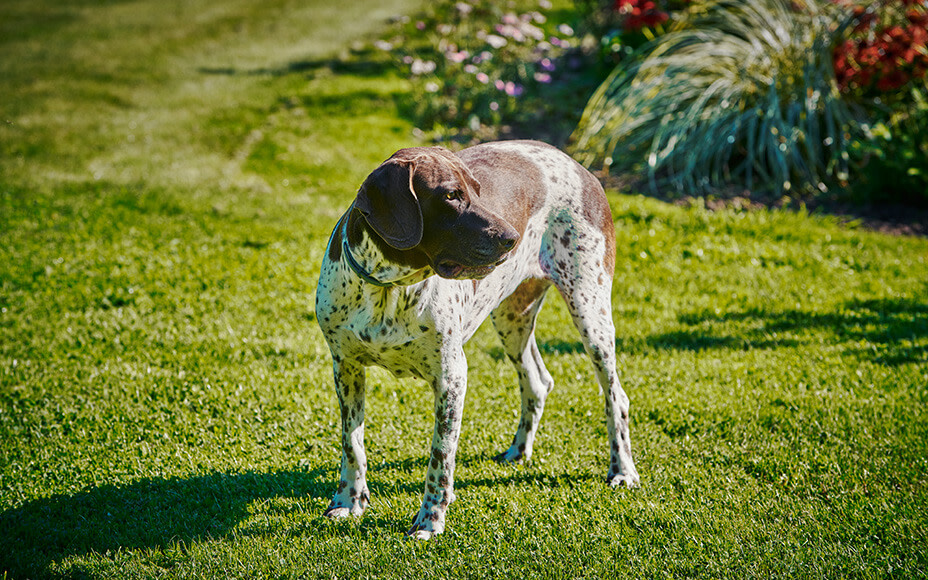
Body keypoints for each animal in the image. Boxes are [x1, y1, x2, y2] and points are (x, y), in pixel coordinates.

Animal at [312, 140, 640, 540]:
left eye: (478, 191)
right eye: (450, 195)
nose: (512, 238)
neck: (388, 287)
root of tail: (575, 162)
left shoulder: (451, 378)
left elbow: (440, 457)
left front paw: (430, 520)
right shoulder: (346, 369)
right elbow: (352, 445)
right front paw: (348, 501)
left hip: (590, 313)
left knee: (616, 397)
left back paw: (623, 470)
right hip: (512, 318)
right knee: (538, 381)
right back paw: (518, 451)